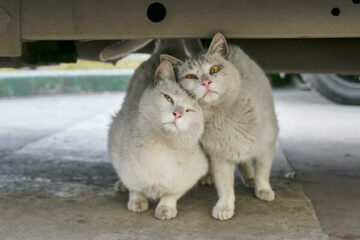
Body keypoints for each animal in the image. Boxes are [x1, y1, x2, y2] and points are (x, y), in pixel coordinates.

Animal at [107, 61, 208, 220]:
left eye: (189, 110)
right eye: (168, 98)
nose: (177, 114)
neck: (161, 145)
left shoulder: (190, 175)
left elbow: (171, 194)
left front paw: (166, 208)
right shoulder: (118, 151)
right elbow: (135, 187)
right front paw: (137, 201)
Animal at [162, 32, 278, 220]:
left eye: (214, 69)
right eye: (190, 77)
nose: (206, 82)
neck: (223, 115)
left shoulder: (267, 144)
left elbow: (263, 171)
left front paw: (263, 189)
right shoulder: (220, 157)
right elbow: (225, 186)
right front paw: (225, 206)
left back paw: (250, 179)